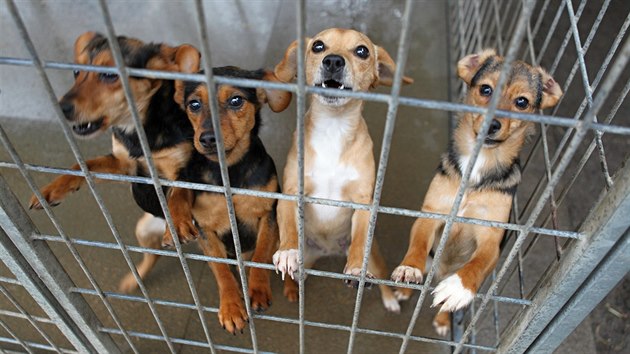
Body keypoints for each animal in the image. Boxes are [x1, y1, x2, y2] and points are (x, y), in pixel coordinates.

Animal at [160, 48, 294, 334]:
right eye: (194, 104)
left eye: (235, 101)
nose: (207, 139)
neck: (229, 171)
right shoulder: (205, 230)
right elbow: (221, 270)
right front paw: (232, 307)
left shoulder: (267, 215)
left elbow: (262, 253)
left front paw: (257, 290)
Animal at [272, 29, 414, 314]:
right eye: (317, 46)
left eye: (362, 51)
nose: (333, 61)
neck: (333, 129)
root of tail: (328, 251)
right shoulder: (291, 193)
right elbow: (289, 226)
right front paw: (288, 251)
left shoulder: (362, 204)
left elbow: (359, 243)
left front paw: (356, 268)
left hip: (376, 258)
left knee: (380, 275)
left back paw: (390, 299)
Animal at [392, 49, 564, 334]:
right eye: (485, 89)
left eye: (522, 102)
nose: (492, 125)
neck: (478, 167)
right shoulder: (432, 214)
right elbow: (417, 244)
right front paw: (409, 268)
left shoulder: (490, 237)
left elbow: (478, 262)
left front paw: (459, 287)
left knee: (445, 305)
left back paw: (444, 317)